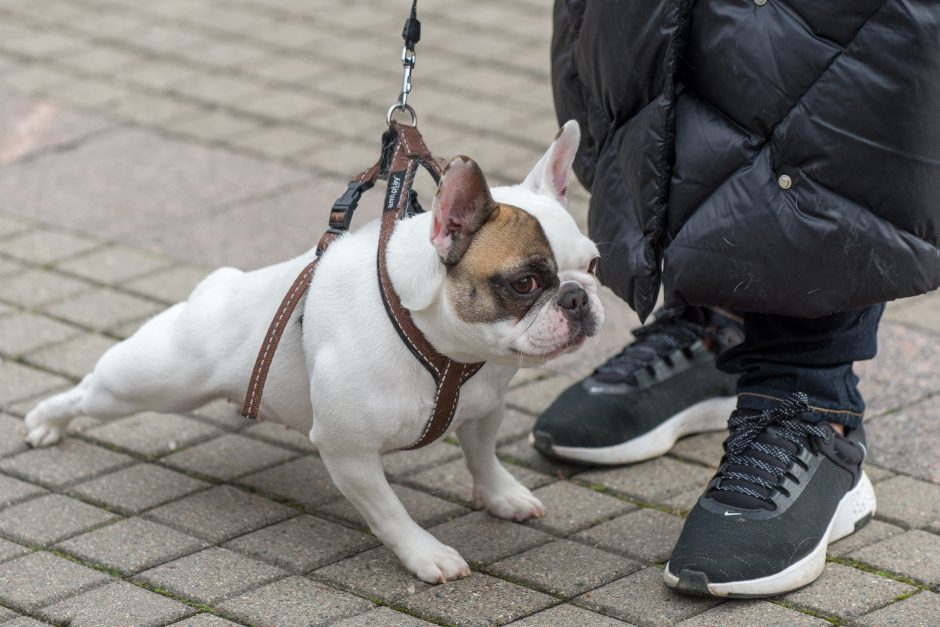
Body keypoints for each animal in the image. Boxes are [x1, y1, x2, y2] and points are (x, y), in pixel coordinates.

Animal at [27, 121, 608, 584]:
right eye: (525, 283)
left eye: (594, 265)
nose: (577, 298)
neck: (445, 351)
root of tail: (220, 285)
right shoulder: (347, 450)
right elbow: (390, 512)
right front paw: (426, 555)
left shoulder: (486, 407)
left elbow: (481, 455)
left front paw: (502, 495)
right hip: (155, 381)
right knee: (89, 391)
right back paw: (46, 421)